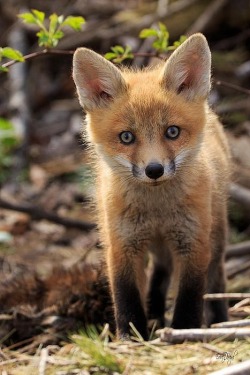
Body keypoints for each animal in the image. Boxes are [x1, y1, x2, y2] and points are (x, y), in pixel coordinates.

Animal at [72, 34, 230, 340]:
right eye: (126, 137)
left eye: (172, 132)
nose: (154, 170)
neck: (157, 210)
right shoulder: (122, 245)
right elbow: (127, 298)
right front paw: (130, 338)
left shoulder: (193, 243)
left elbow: (189, 299)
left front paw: (182, 333)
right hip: (156, 247)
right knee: (159, 275)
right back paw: (156, 314)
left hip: (215, 240)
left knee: (216, 280)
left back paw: (221, 321)